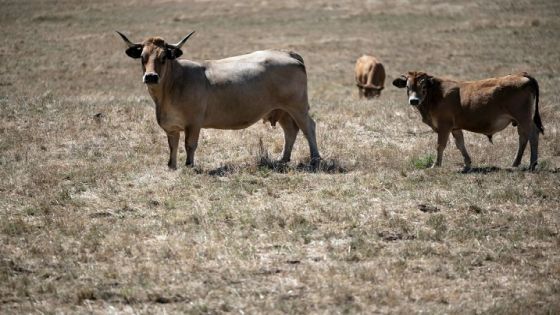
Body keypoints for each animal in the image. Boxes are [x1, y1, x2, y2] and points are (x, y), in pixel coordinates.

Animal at [116, 31, 322, 170]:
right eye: (143, 57)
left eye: (164, 57)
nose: (151, 76)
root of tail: (287, 53)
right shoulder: (171, 126)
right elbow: (172, 145)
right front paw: (172, 166)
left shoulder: (194, 122)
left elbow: (189, 144)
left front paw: (189, 165)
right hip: (282, 111)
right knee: (290, 131)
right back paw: (283, 159)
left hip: (297, 107)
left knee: (308, 127)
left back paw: (315, 159)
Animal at [392, 72, 544, 170]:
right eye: (407, 87)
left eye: (423, 87)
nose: (414, 100)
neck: (436, 94)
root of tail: (522, 75)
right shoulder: (455, 128)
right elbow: (460, 144)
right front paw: (467, 163)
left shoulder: (444, 126)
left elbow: (440, 145)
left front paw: (436, 164)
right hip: (521, 120)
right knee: (526, 136)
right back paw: (521, 163)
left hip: (523, 118)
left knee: (531, 136)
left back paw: (528, 164)